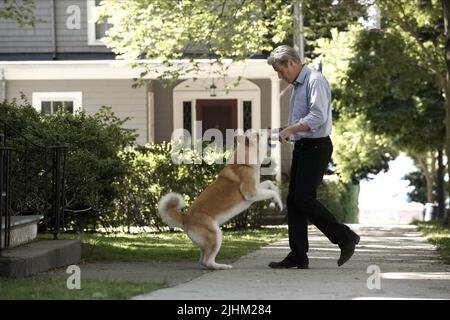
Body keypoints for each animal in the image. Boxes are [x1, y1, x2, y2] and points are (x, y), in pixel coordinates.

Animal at [157, 131, 282, 268]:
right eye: (260, 134)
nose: (270, 129)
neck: (245, 162)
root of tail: (185, 218)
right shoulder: (251, 193)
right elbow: (270, 191)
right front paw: (277, 201)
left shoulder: (257, 187)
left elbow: (270, 184)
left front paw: (278, 201)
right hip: (216, 235)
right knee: (208, 261)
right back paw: (222, 266)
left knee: (203, 260)